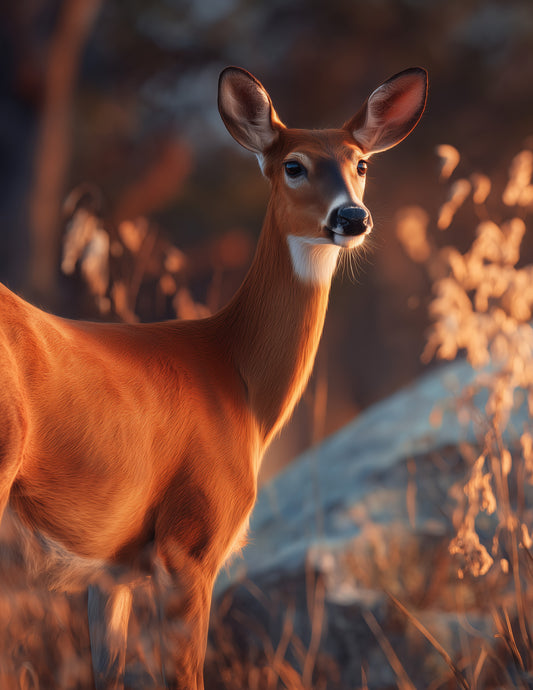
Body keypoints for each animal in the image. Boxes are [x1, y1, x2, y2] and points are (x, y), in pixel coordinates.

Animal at [0, 66, 427, 688]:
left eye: (362, 164)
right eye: (293, 164)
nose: (352, 218)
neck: (237, 380)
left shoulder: (112, 571)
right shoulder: (192, 541)